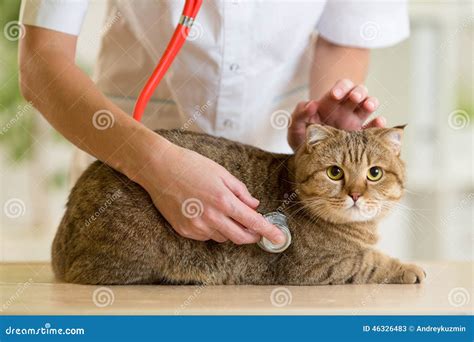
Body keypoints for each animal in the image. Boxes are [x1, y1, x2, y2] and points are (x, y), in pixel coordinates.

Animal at [51, 124, 426, 284]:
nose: (356, 193)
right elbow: (372, 263)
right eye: (335, 172)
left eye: (374, 174)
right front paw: (410, 268)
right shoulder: (317, 267)